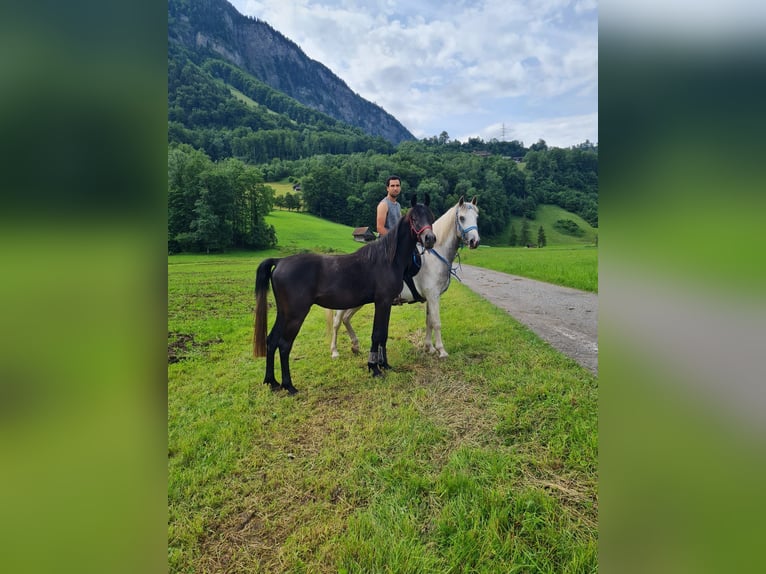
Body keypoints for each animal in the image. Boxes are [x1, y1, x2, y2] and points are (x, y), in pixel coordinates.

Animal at [254, 196, 438, 394]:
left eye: (431, 216)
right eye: (413, 218)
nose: (430, 239)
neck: (386, 259)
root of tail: (280, 261)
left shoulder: (387, 303)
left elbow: (384, 334)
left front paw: (384, 365)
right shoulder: (382, 302)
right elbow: (377, 334)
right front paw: (374, 368)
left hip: (283, 313)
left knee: (272, 340)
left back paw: (272, 382)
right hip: (295, 315)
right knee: (284, 345)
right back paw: (289, 386)